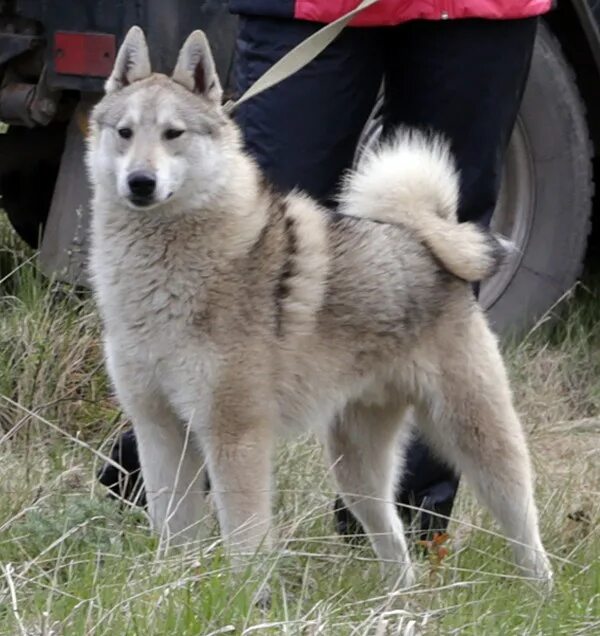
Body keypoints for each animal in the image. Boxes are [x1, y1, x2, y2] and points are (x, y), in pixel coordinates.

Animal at [85, 27, 552, 588]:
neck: (168, 273)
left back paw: (542, 592)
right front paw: (170, 587)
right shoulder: (159, 430)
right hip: (356, 466)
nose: (140, 181)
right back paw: (396, 599)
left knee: (524, 524)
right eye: (125, 132)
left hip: (478, 439)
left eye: (174, 133)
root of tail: (422, 239)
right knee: (393, 542)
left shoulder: (234, 435)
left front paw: (246, 599)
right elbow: (173, 533)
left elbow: (245, 540)